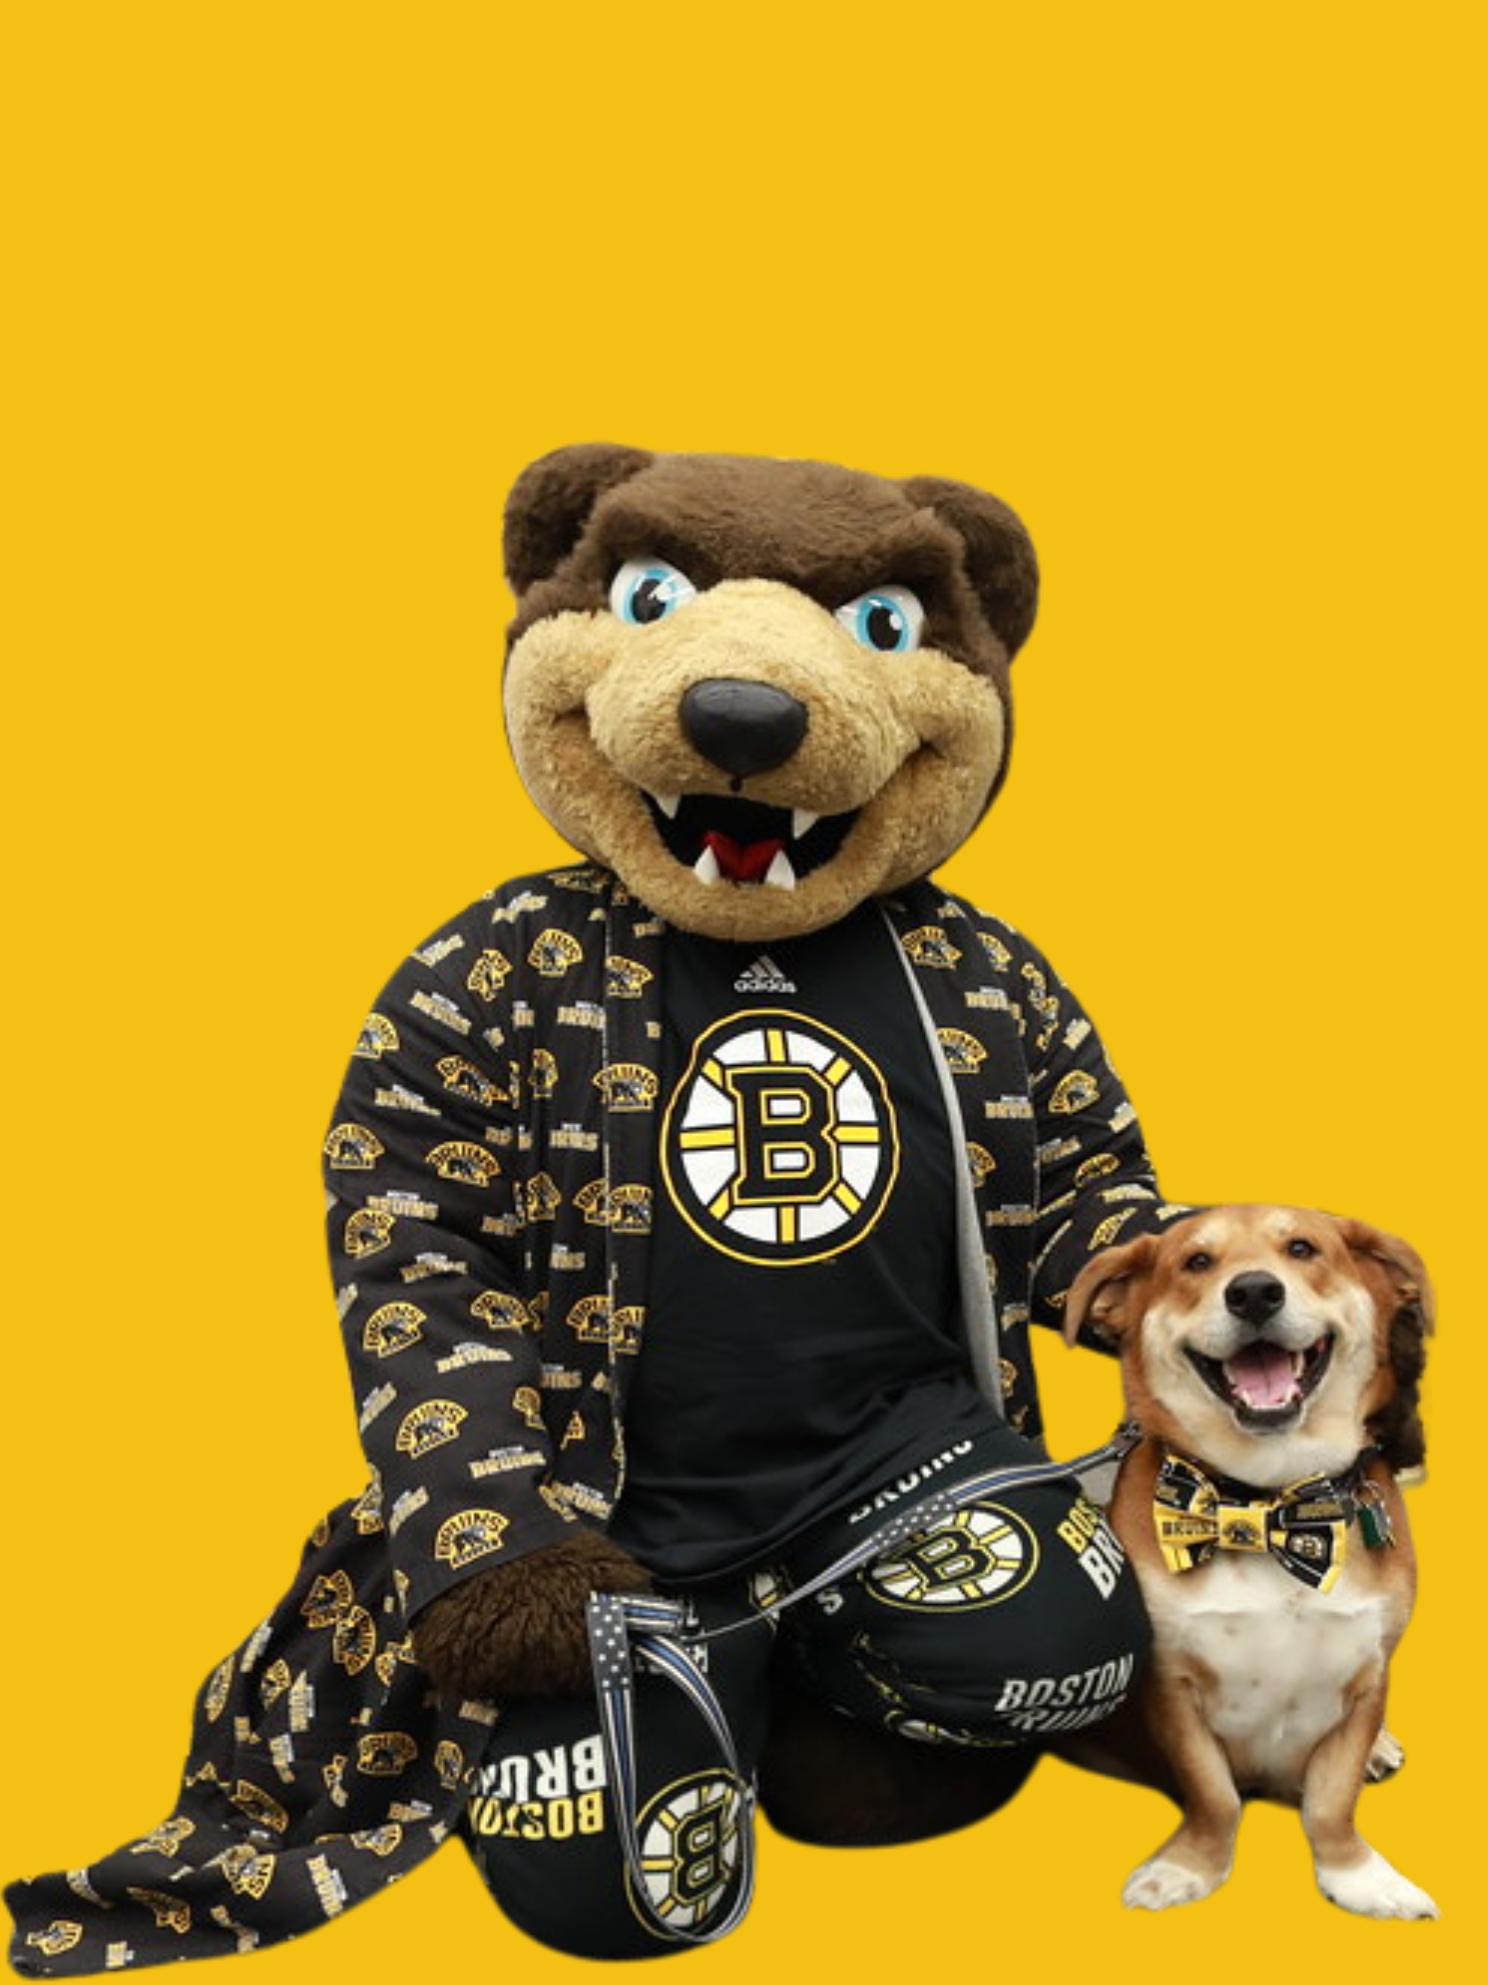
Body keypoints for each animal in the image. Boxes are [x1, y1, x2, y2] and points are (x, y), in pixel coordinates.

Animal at [1063, 1198, 1436, 1913]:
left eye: (1302, 1248)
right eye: (1196, 1262)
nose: (1255, 1292)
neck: (1265, 1505)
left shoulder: (1367, 1675)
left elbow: (1331, 1804)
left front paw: (1358, 1876)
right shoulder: (1172, 1687)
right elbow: (1214, 1797)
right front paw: (1189, 1868)